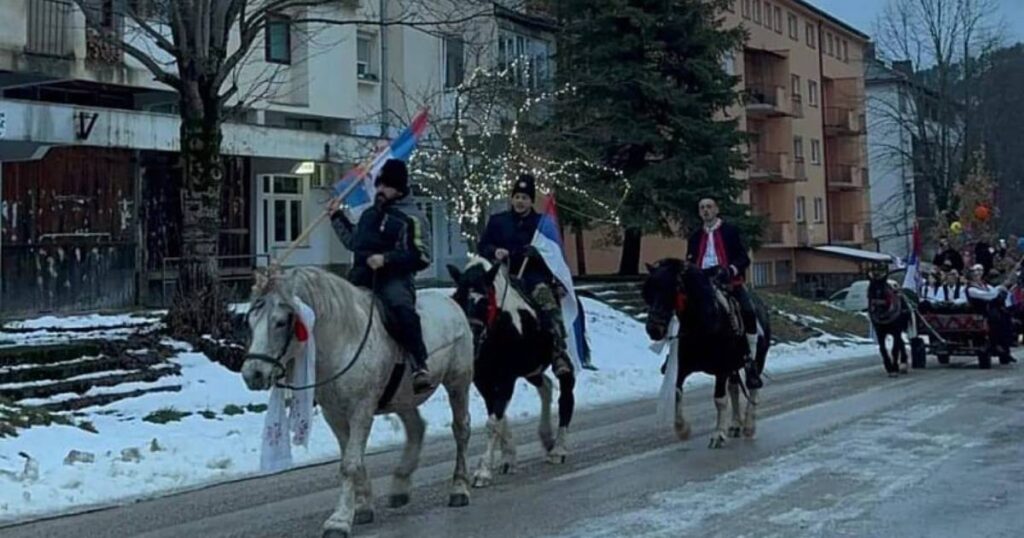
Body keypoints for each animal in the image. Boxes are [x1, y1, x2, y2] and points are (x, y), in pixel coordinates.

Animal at [242, 266, 475, 532]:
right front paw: (362, 507)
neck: (344, 339)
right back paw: (400, 486)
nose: (252, 374)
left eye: (280, 322)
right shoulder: (334, 414)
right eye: (250, 322)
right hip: (403, 397)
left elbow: (350, 463)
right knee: (416, 428)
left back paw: (459, 489)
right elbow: (353, 460)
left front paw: (340, 519)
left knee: (461, 430)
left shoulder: (361, 410)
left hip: (458, 384)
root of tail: (451, 303)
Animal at [448, 256, 577, 485]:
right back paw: (547, 438)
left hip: (560, 360)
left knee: (566, 393)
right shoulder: (483, 380)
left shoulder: (506, 378)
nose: (470, 339)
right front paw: (508, 458)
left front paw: (483, 471)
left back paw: (558, 448)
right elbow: (499, 416)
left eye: (485, 301)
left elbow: (494, 421)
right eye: (458, 298)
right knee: (545, 386)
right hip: (531, 370)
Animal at [638, 258, 770, 446]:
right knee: (734, 389)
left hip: (757, 360)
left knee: (752, 388)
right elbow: (677, 392)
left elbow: (720, 399)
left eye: (671, 289)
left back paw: (749, 427)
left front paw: (718, 435)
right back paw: (735, 424)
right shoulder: (683, 367)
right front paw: (683, 429)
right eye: (647, 292)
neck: (702, 323)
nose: (654, 329)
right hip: (734, 367)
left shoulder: (722, 368)